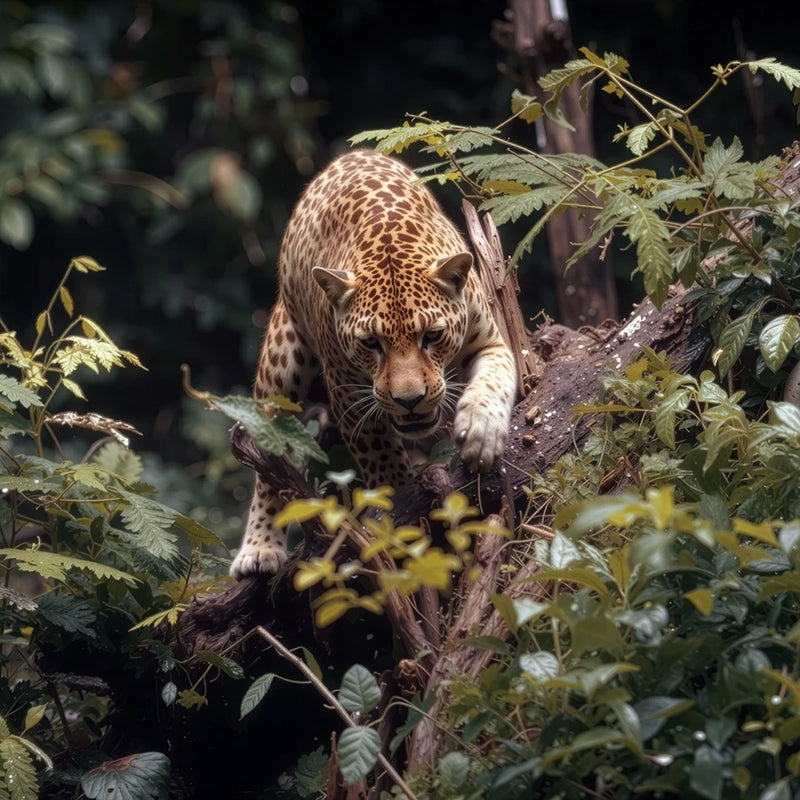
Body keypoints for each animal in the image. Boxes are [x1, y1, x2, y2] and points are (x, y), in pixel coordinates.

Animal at [230, 149, 517, 578]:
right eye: (371, 343)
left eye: (432, 336)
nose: (410, 400)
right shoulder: (350, 397)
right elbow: (385, 466)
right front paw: (404, 515)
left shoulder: (492, 343)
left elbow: (493, 383)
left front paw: (481, 434)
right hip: (280, 358)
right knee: (267, 462)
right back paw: (259, 547)